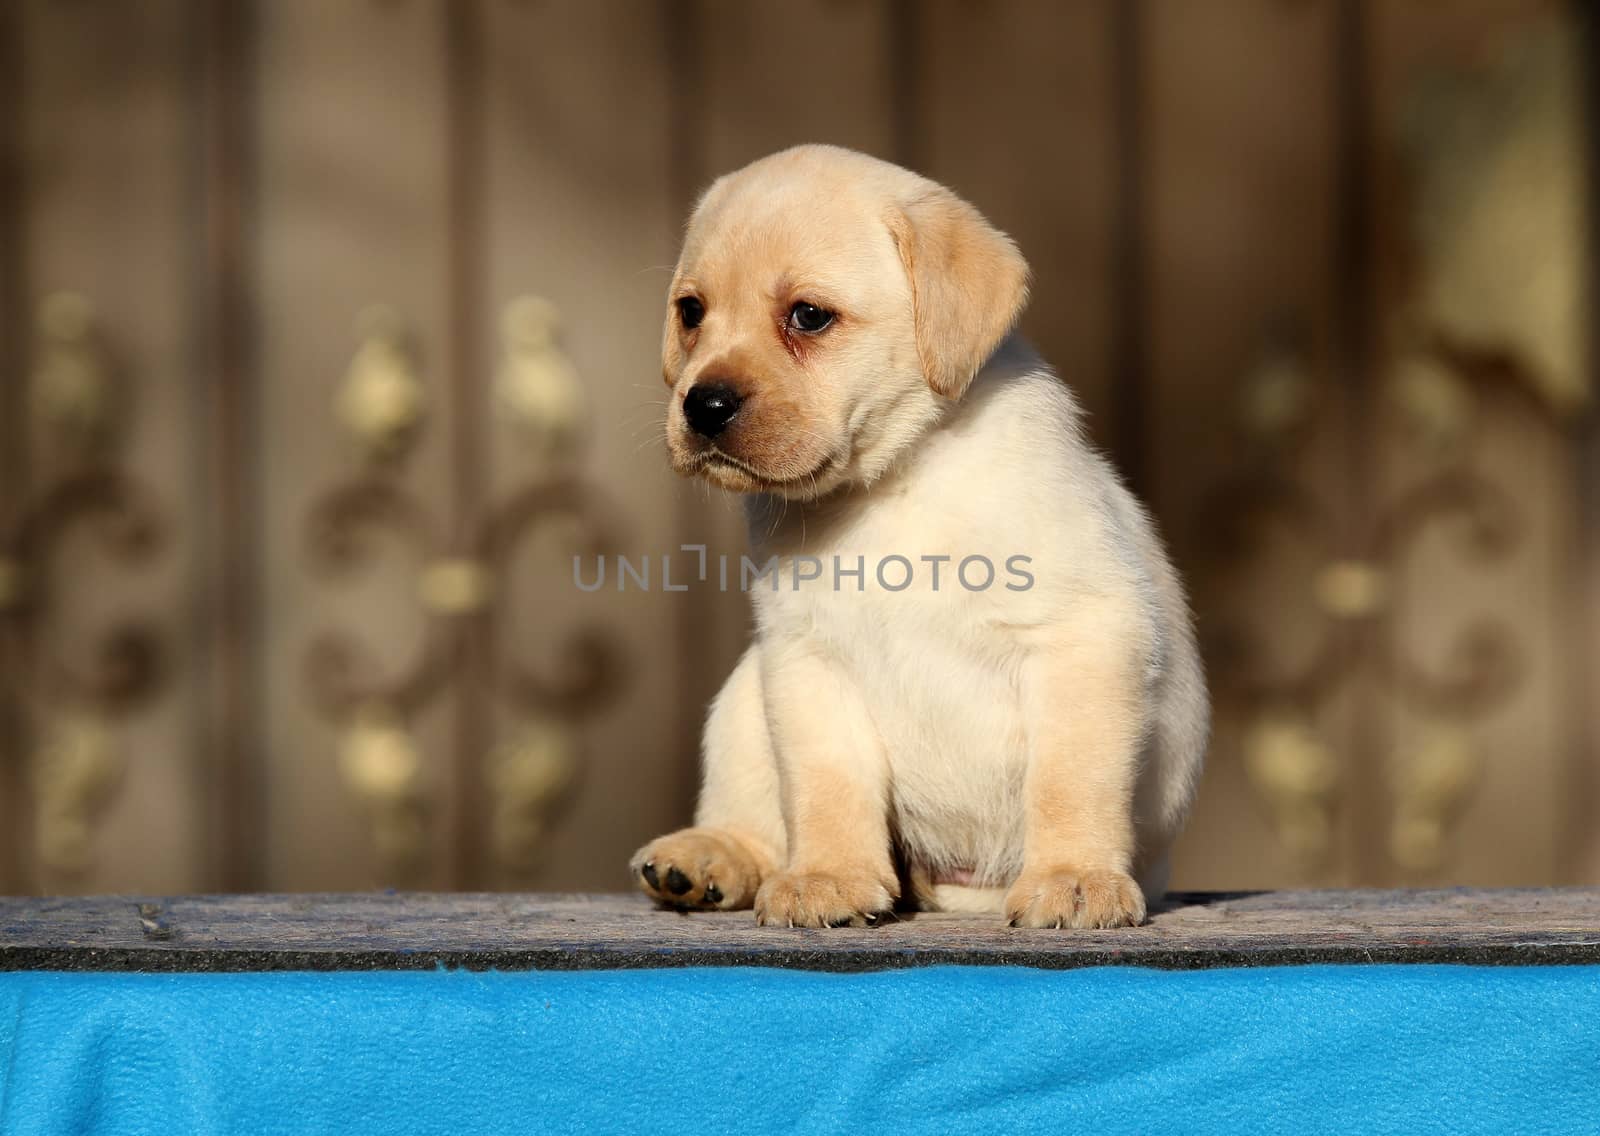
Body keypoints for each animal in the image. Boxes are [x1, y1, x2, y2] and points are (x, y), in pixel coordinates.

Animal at [630, 147, 1203, 928]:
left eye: (808, 316)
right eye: (691, 313)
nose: (703, 405)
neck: (891, 483)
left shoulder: (1085, 635)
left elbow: (1070, 782)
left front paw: (1074, 877)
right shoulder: (807, 663)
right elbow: (826, 789)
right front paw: (831, 876)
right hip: (744, 697)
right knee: (753, 817)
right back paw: (708, 857)